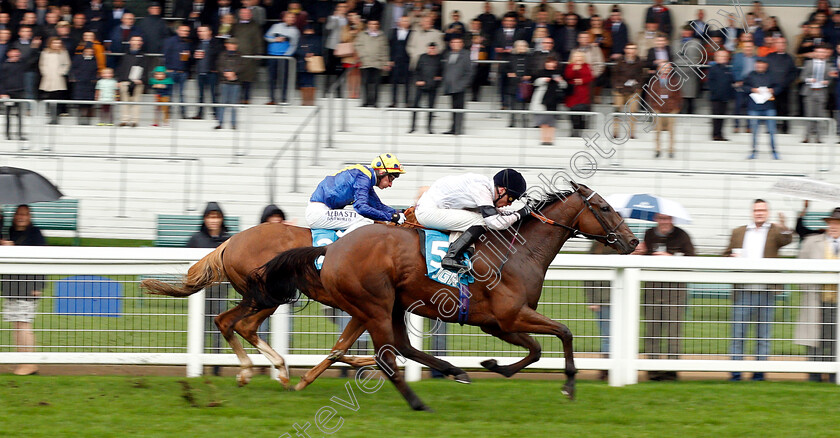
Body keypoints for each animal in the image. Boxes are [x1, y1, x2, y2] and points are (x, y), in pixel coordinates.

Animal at [246, 182, 640, 410]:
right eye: (605, 208)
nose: (633, 241)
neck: (519, 251)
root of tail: (333, 248)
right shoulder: (511, 315)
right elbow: (564, 333)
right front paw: (569, 386)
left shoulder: (498, 324)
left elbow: (537, 349)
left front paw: (494, 366)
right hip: (375, 305)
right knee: (387, 357)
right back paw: (418, 402)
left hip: (393, 305)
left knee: (401, 348)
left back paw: (453, 370)